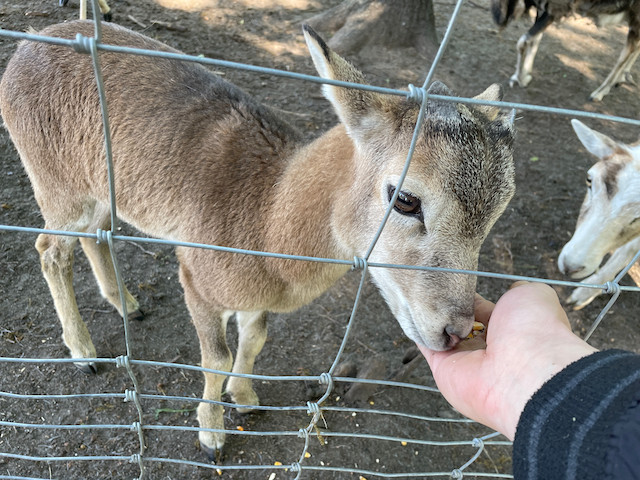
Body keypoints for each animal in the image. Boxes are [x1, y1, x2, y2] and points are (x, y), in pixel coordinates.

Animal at [0, 20, 516, 461]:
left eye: (500, 211)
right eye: (406, 198)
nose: (454, 330)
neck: (265, 221)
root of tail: (23, 47)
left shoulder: (255, 300)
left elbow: (253, 339)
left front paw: (246, 397)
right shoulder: (195, 275)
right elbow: (215, 356)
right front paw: (211, 436)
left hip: (97, 188)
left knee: (95, 235)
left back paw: (127, 304)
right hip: (55, 181)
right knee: (50, 250)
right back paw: (85, 353)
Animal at [492, 0, 640, 101]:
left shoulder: (557, 8)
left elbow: (523, 41)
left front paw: (520, 78)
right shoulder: (543, 8)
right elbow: (534, 39)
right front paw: (524, 75)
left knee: (626, 53)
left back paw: (600, 92)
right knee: (635, 48)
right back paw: (622, 77)